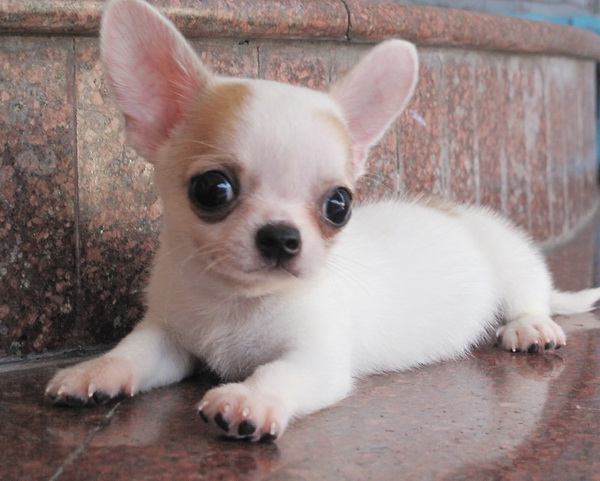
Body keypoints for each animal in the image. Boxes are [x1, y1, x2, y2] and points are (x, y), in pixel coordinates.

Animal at [45, 0, 600, 442]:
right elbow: (134, 351)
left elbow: (277, 374)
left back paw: (531, 326)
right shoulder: (168, 337)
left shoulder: (317, 359)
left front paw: (248, 400)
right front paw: (97, 370)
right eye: (212, 190)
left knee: (529, 297)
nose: (282, 237)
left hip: (511, 261)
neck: (235, 302)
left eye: (339, 205)